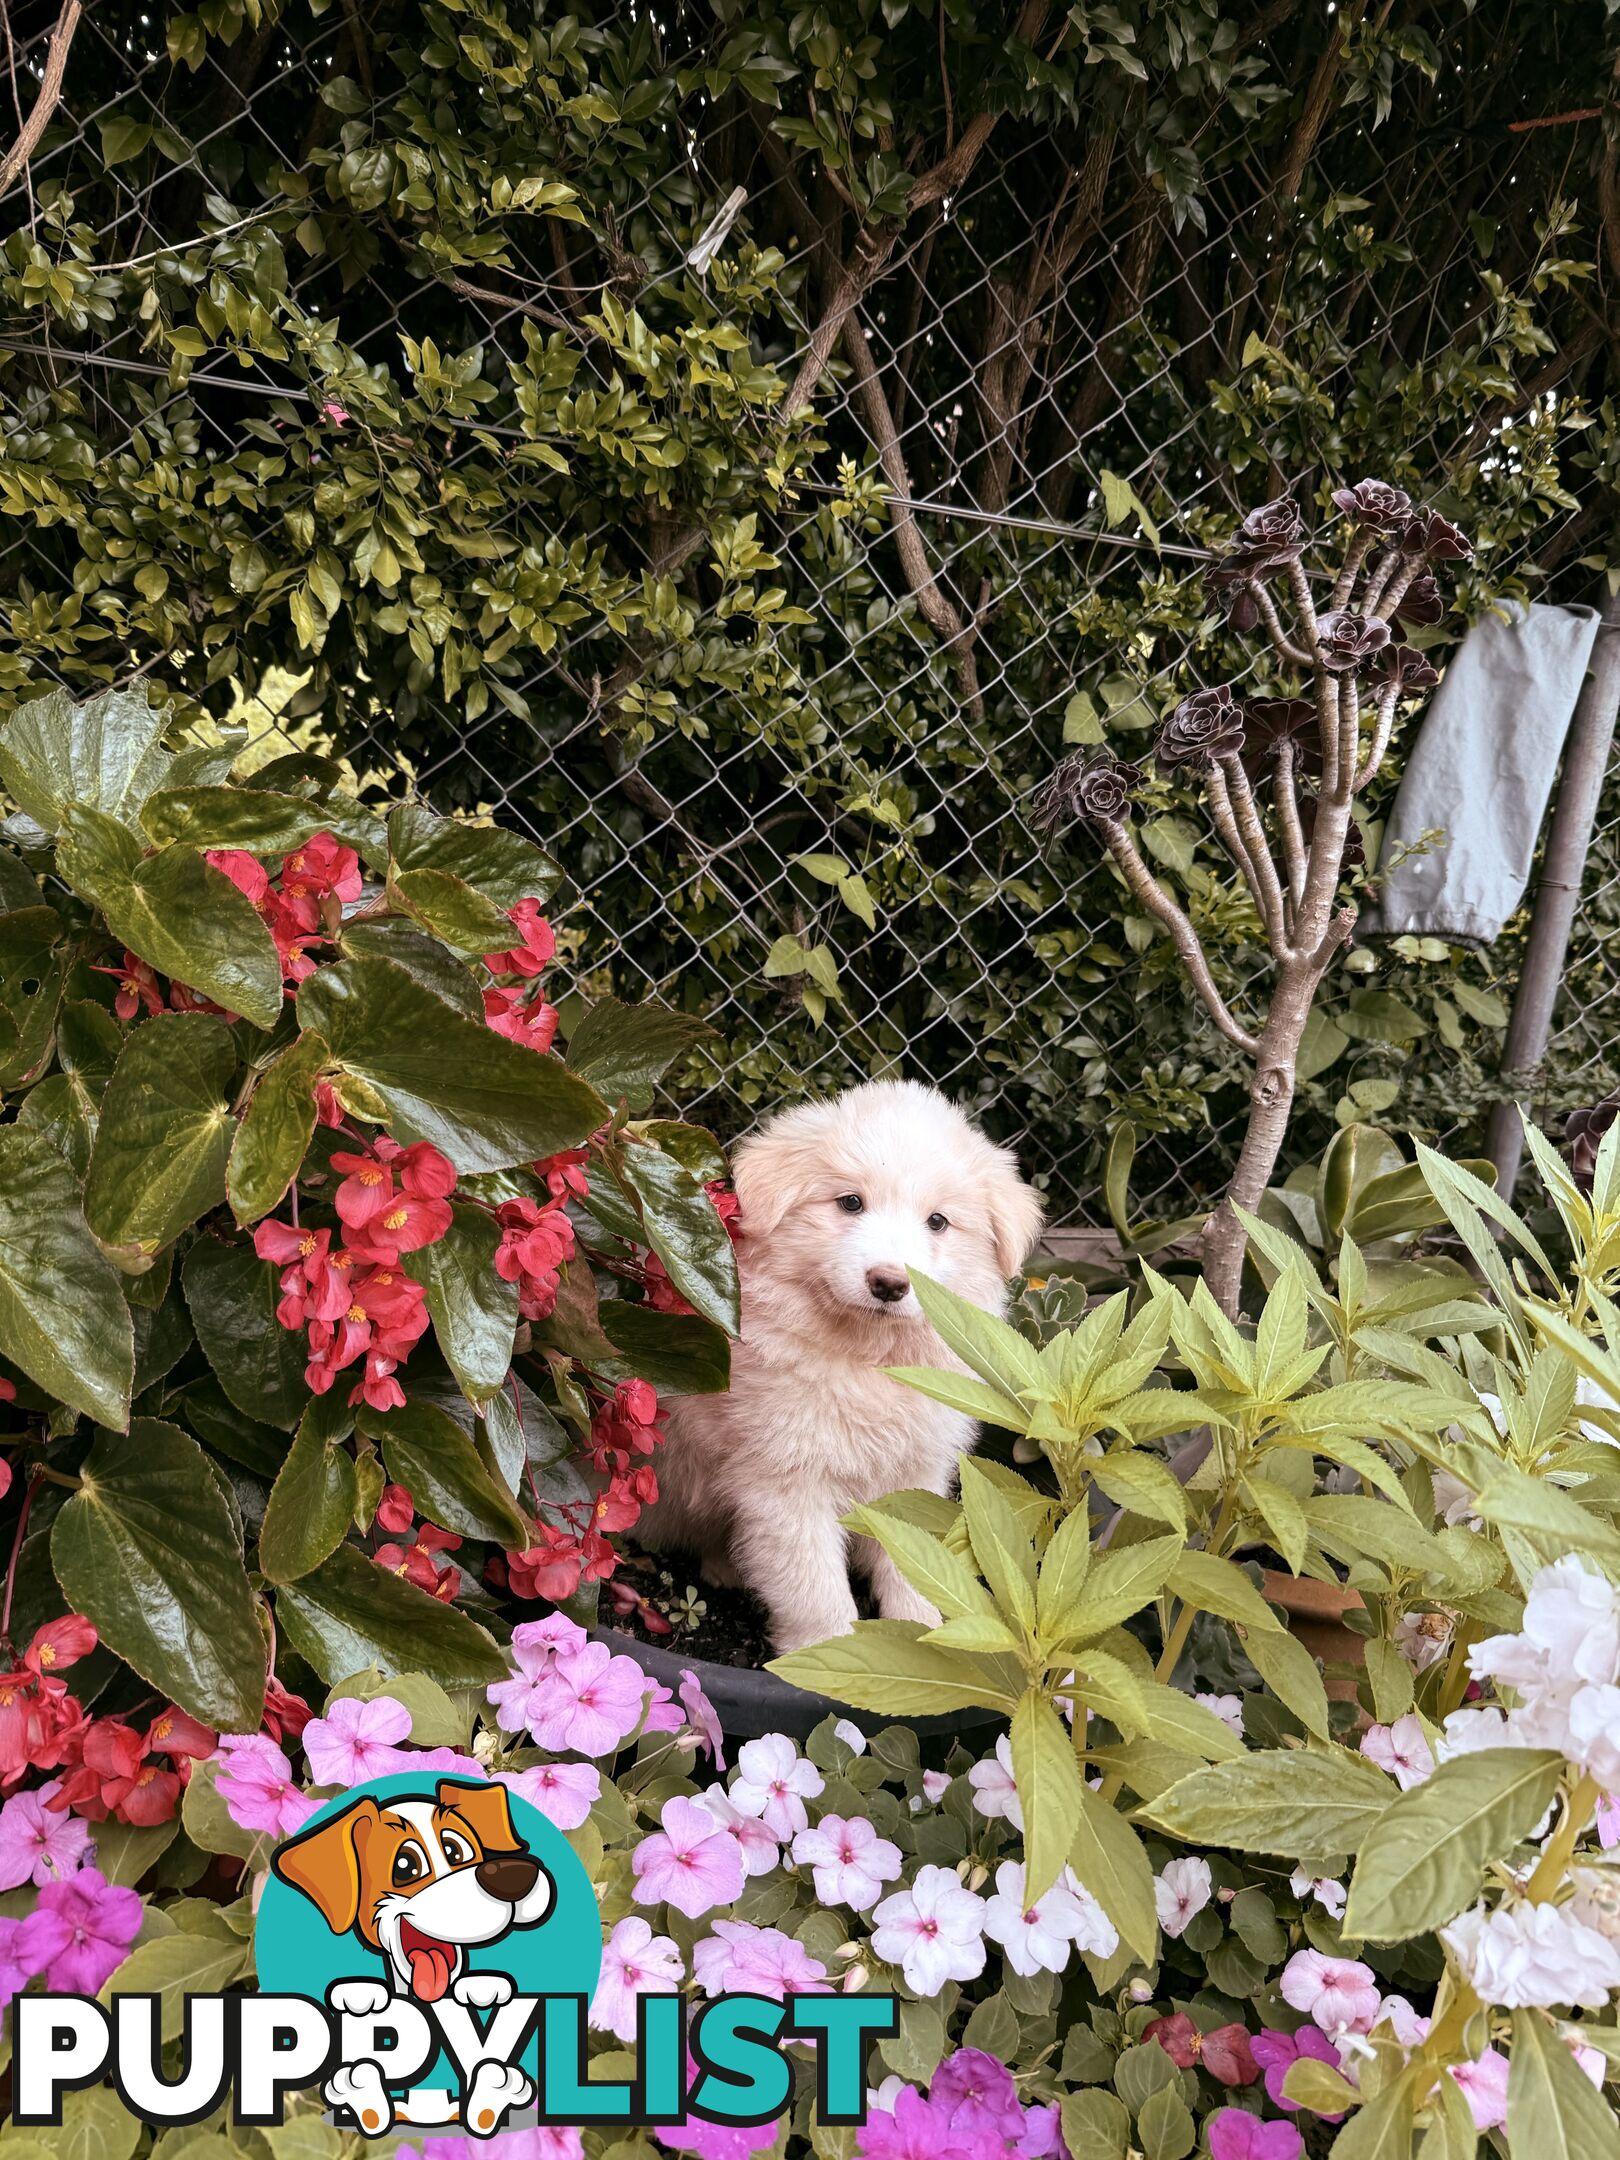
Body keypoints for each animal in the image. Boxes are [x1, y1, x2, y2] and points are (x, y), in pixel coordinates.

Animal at [648, 1080, 1041, 1650]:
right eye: (850, 1203)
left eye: (938, 1222)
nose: (889, 1283)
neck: (869, 1360)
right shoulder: (786, 1484)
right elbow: (815, 1589)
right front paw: (826, 1655)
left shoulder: (916, 1474)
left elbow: (914, 1563)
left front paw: (925, 1636)